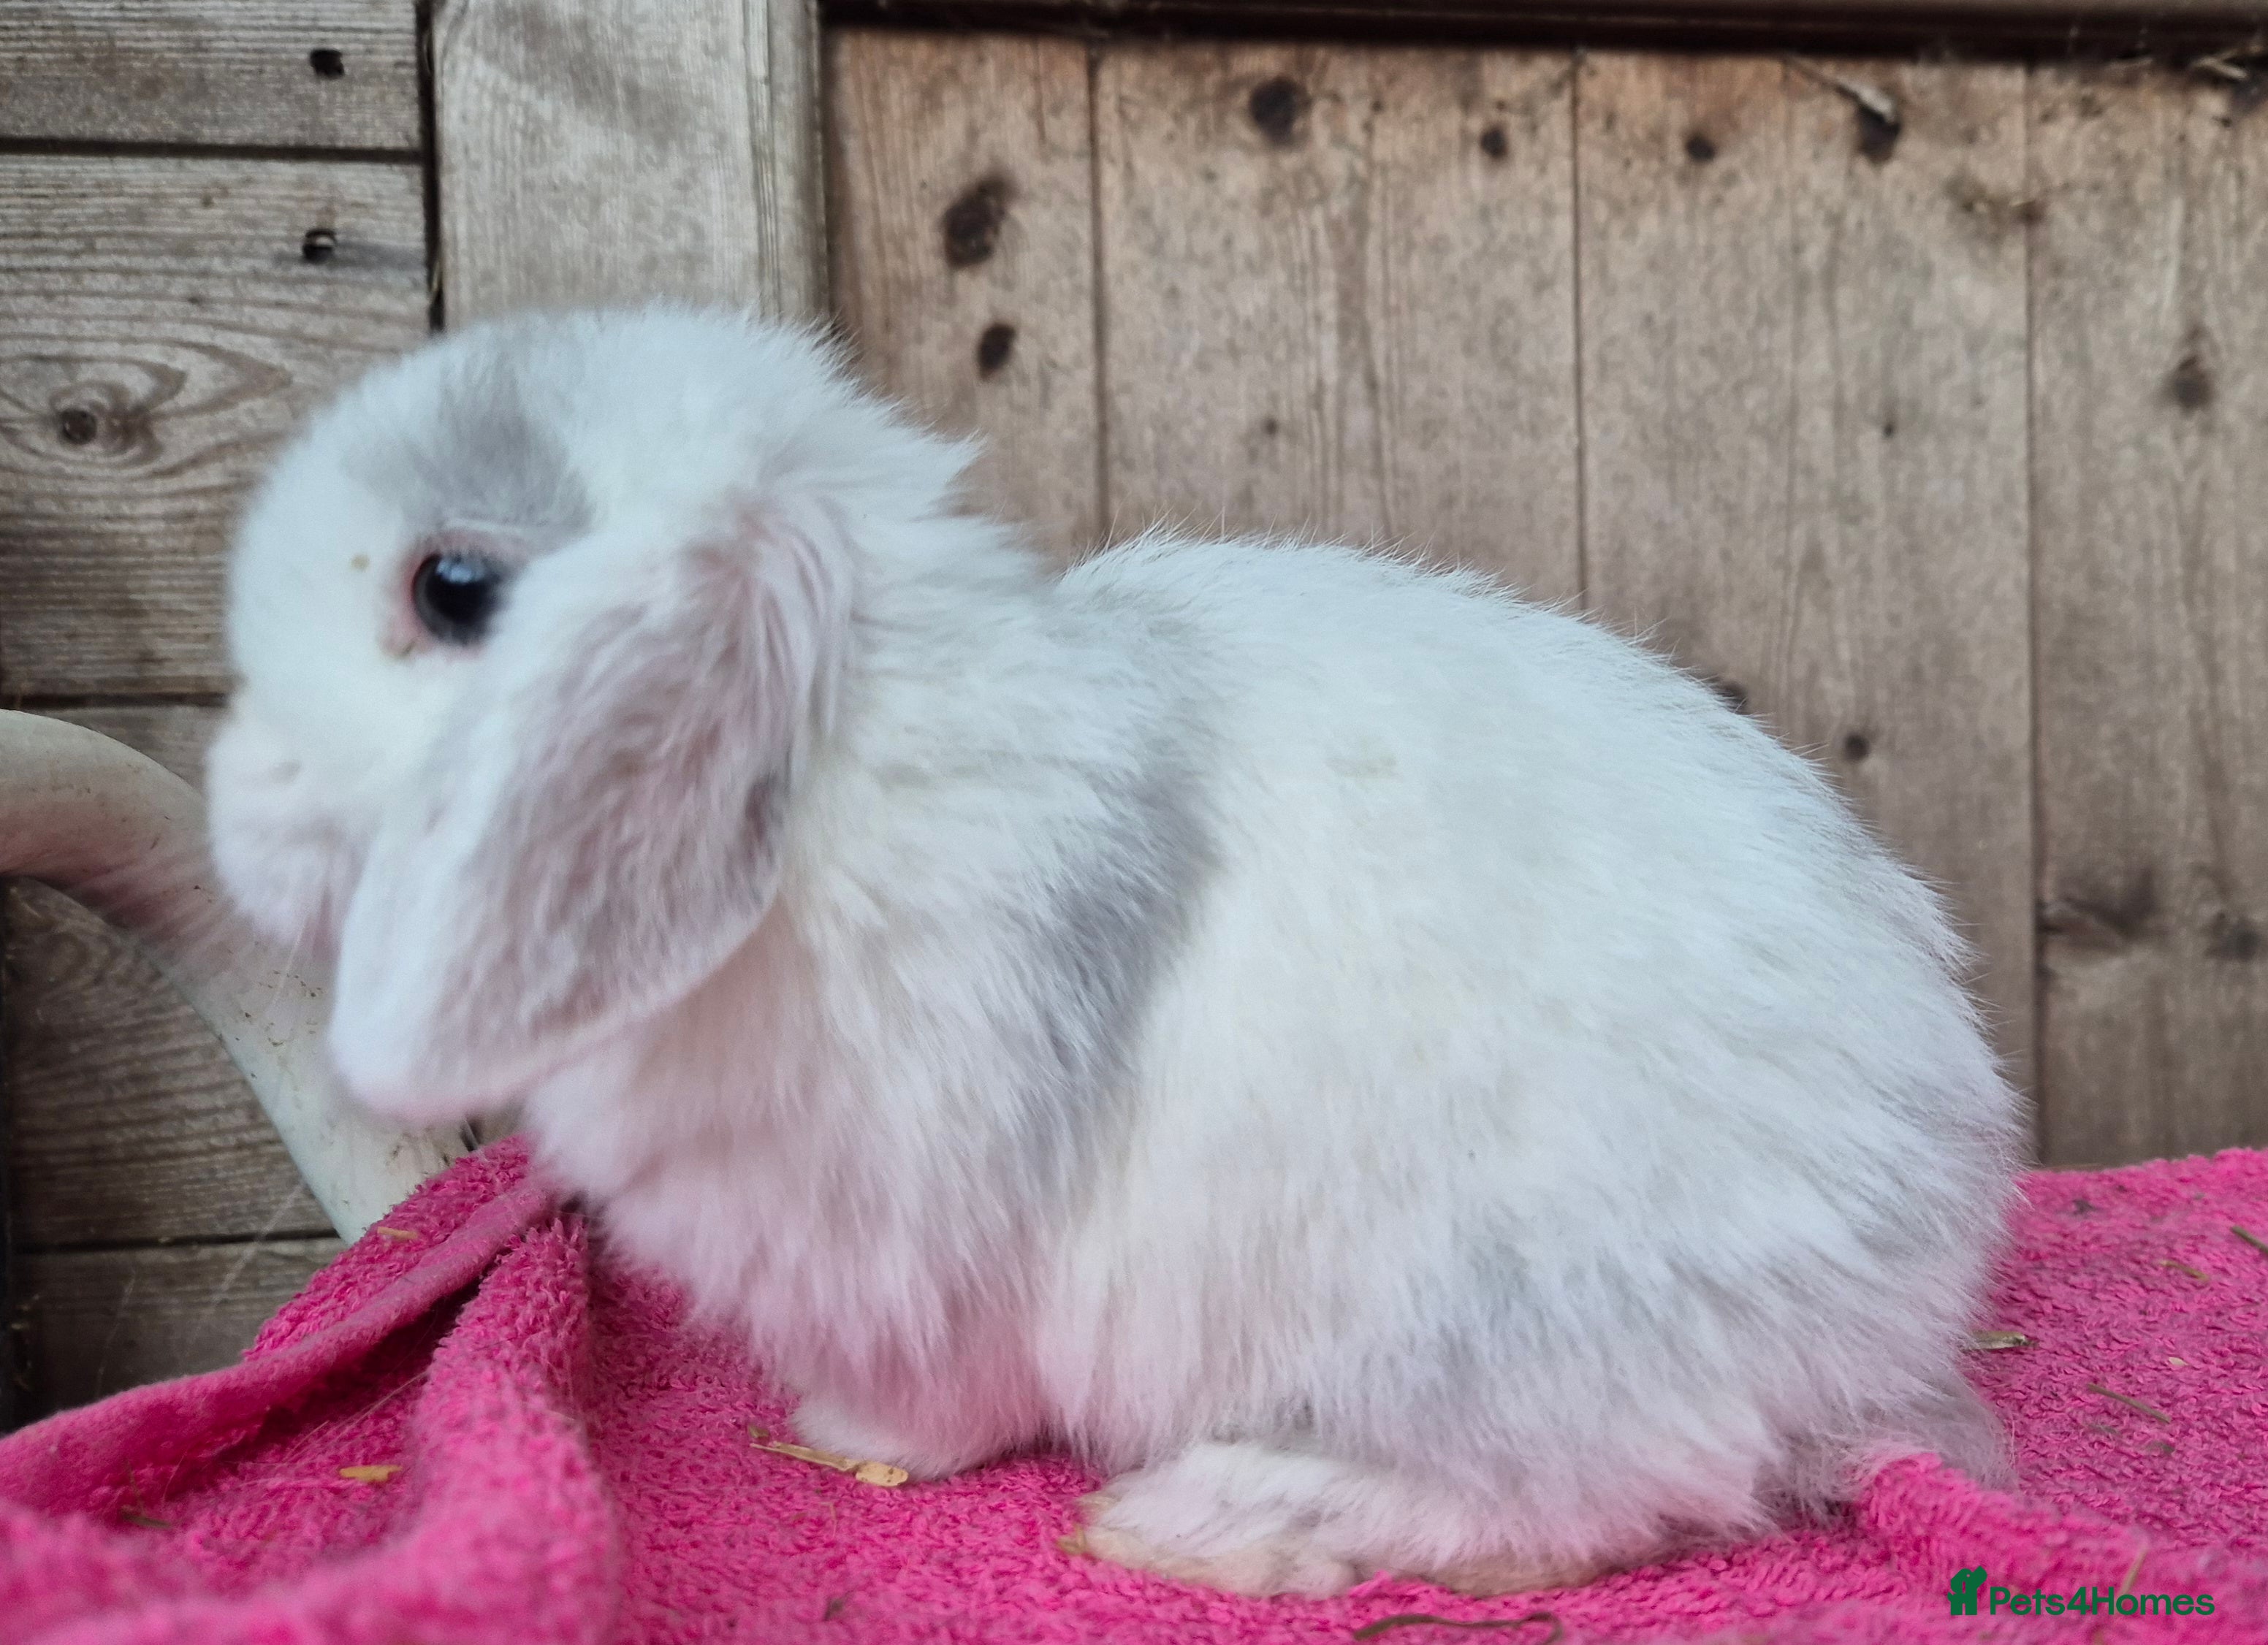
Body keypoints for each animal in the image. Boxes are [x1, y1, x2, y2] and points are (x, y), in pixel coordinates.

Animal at [206, 305, 2023, 1600]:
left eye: (453, 586)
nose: (237, 810)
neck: (834, 768)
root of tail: (1909, 1274)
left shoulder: (917, 1244)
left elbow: (933, 1402)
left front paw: (841, 1439)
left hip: (1487, 1316)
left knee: (1620, 1493)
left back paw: (1217, 1516)